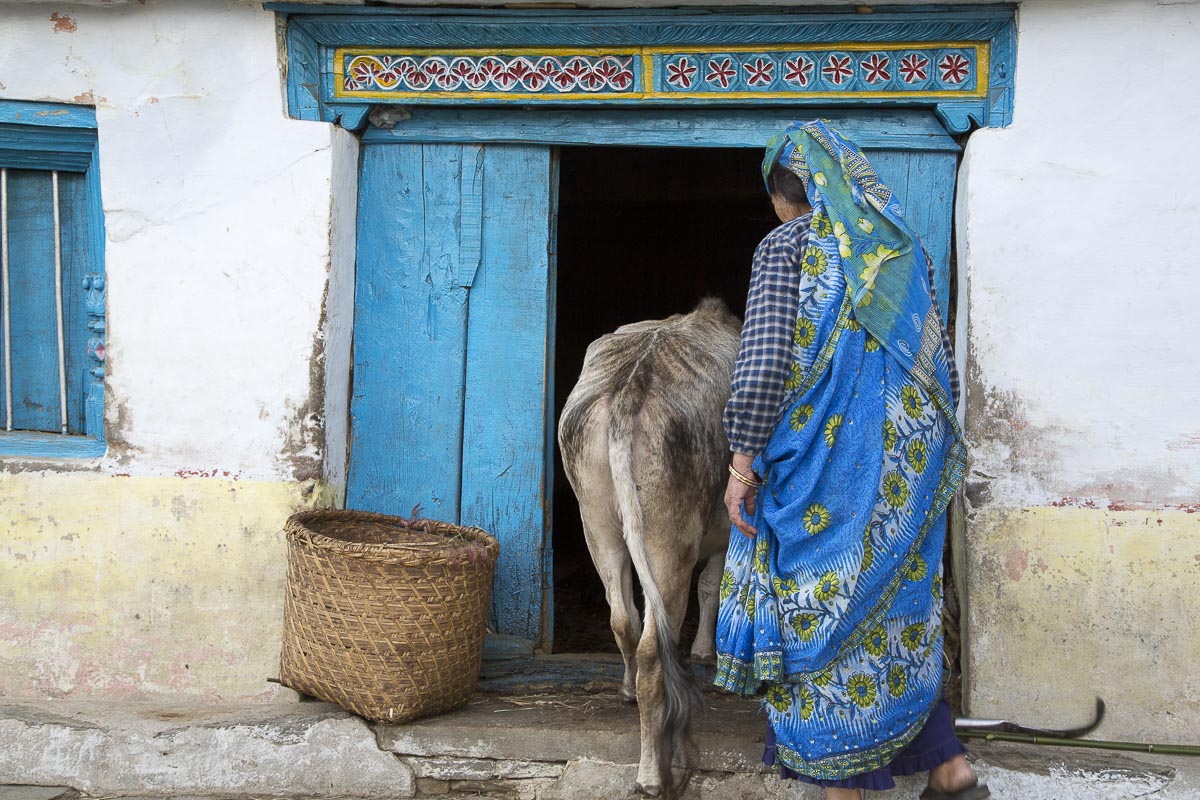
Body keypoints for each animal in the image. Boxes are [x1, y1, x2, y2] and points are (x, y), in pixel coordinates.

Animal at [557, 297, 742, 798]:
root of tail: (630, 390)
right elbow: (713, 586)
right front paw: (705, 652)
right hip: (669, 542)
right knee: (652, 649)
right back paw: (649, 773)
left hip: (596, 520)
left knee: (623, 619)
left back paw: (625, 690)